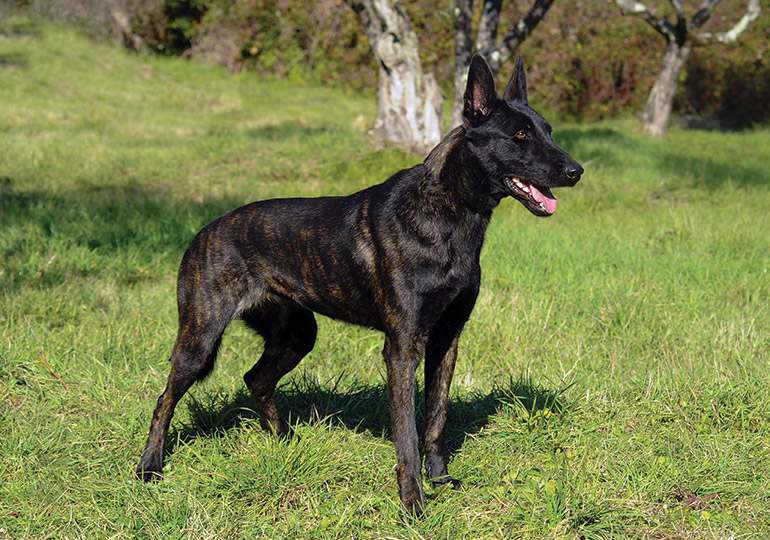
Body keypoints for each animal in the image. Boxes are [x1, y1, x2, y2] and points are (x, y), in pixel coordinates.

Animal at [136, 53, 584, 516]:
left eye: (548, 131)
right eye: (520, 135)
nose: (576, 171)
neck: (450, 212)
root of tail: (203, 232)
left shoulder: (446, 340)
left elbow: (436, 420)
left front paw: (440, 481)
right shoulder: (402, 349)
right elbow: (407, 434)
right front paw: (412, 502)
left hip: (298, 334)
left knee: (256, 379)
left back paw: (287, 443)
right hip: (199, 339)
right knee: (164, 399)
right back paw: (149, 466)